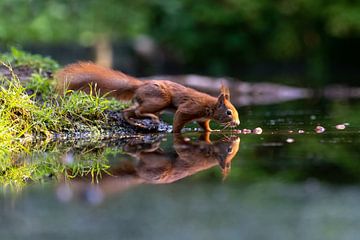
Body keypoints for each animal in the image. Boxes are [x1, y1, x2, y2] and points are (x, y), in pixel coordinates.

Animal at [55, 62, 239, 132]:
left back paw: (134, 122)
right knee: (139, 111)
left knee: (128, 111)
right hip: (160, 100)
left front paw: (213, 130)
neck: (210, 107)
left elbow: (205, 127)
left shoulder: (202, 119)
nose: (237, 123)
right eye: (229, 112)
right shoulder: (190, 108)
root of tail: (141, 85)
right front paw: (175, 132)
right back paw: (151, 118)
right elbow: (179, 119)